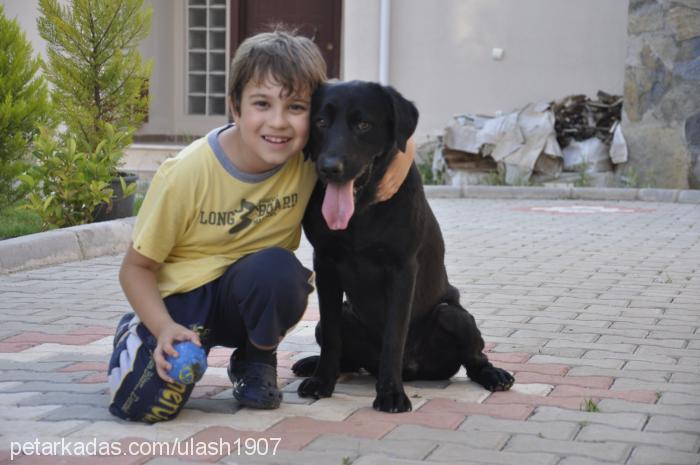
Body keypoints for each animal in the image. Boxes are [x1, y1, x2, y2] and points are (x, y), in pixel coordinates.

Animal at [292, 81, 512, 412]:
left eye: (363, 124)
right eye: (320, 122)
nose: (329, 167)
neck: (361, 212)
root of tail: (413, 368)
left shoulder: (402, 269)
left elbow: (394, 336)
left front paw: (391, 394)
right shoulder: (325, 264)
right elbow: (331, 334)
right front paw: (321, 381)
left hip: (456, 317)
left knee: (475, 359)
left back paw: (494, 374)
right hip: (343, 316)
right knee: (345, 355)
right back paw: (312, 364)